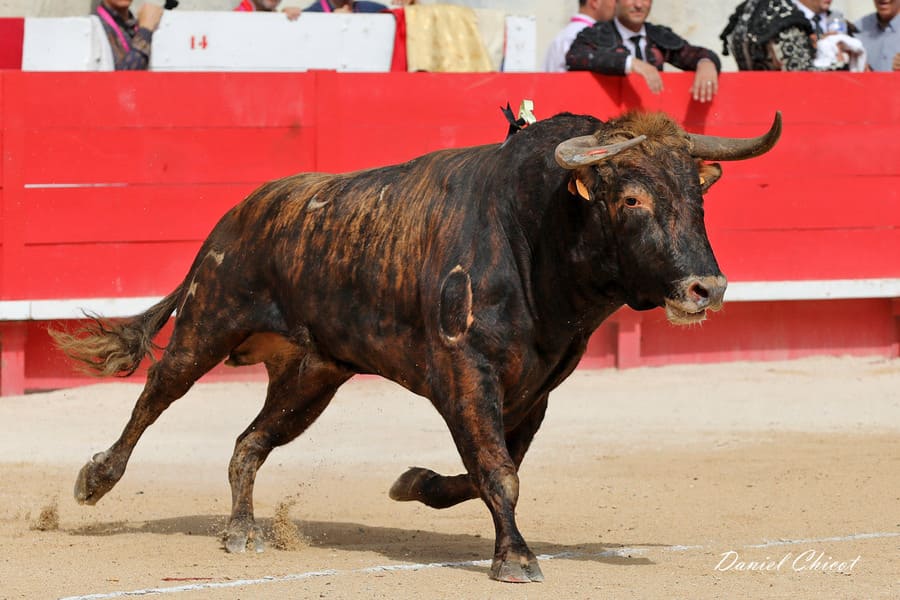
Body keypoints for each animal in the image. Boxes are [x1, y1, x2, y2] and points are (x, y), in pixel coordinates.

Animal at [51, 110, 780, 584]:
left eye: (698, 200)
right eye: (630, 199)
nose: (706, 287)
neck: (535, 233)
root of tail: (240, 213)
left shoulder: (536, 389)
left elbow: (491, 468)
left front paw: (414, 484)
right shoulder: (464, 373)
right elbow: (498, 469)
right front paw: (516, 560)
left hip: (312, 374)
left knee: (249, 443)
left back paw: (242, 532)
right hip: (210, 320)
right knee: (155, 395)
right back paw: (96, 480)